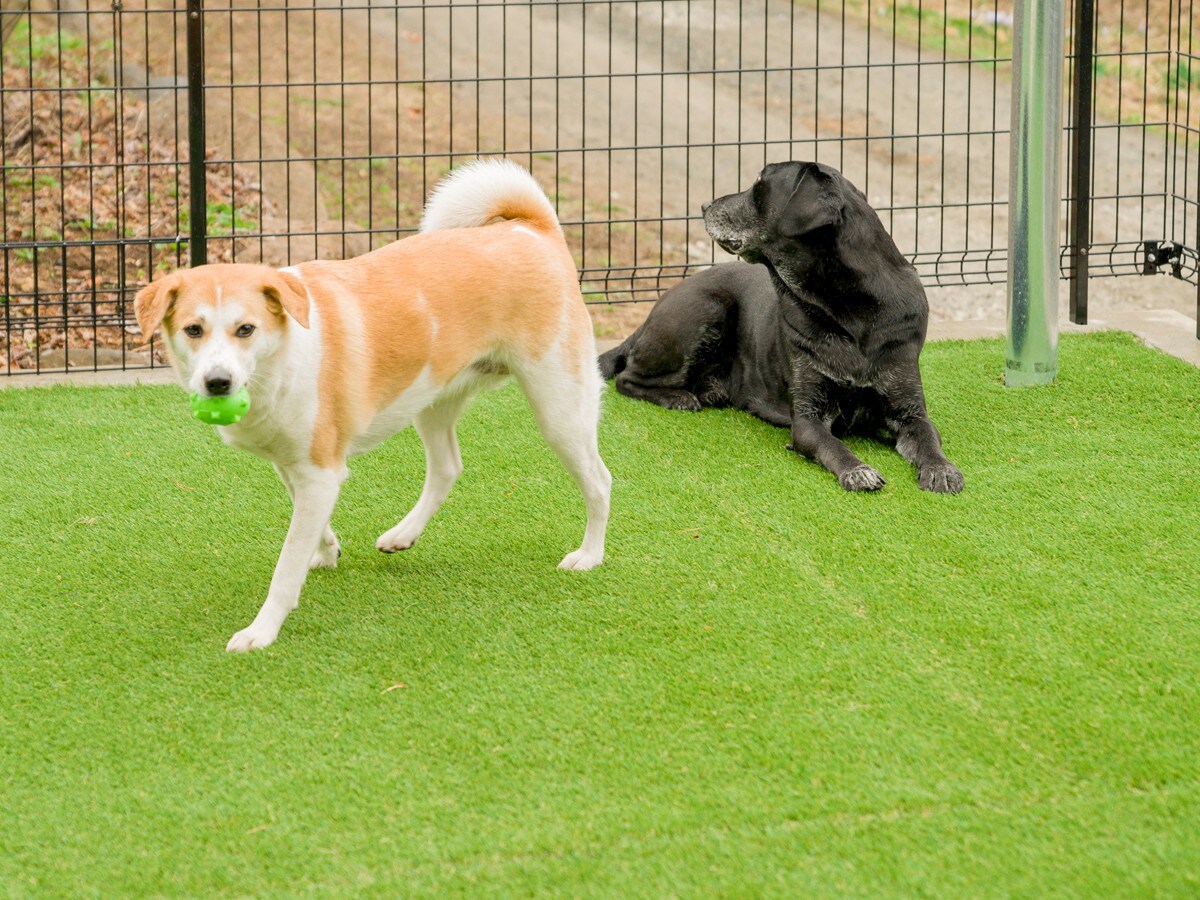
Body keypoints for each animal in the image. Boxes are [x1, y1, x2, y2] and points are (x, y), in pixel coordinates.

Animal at [136, 162, 614, 652]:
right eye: (193, 330)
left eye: (245, 329)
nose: (217, 383)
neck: (284, 355)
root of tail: (532, 229)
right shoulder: (298, 466)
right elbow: (309, 524)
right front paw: (326, 550)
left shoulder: (319, 470)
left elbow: (286, 564)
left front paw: (262, 630)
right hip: (431, 398)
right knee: (448, 467)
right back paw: (403, 534)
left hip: (559, 408)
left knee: (599, 480)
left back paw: (589, 555)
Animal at [600, 162, 964, 494]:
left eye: (759, 186)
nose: (703, 205)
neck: (849, 313)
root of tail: (654, 308)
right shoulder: (807, 418)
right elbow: (834, 446)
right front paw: (858, 470)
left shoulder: (910, 411)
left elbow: (928, 439)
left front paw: (941, 469)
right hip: (707, 310)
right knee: (626, 378)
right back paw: (678, 398)